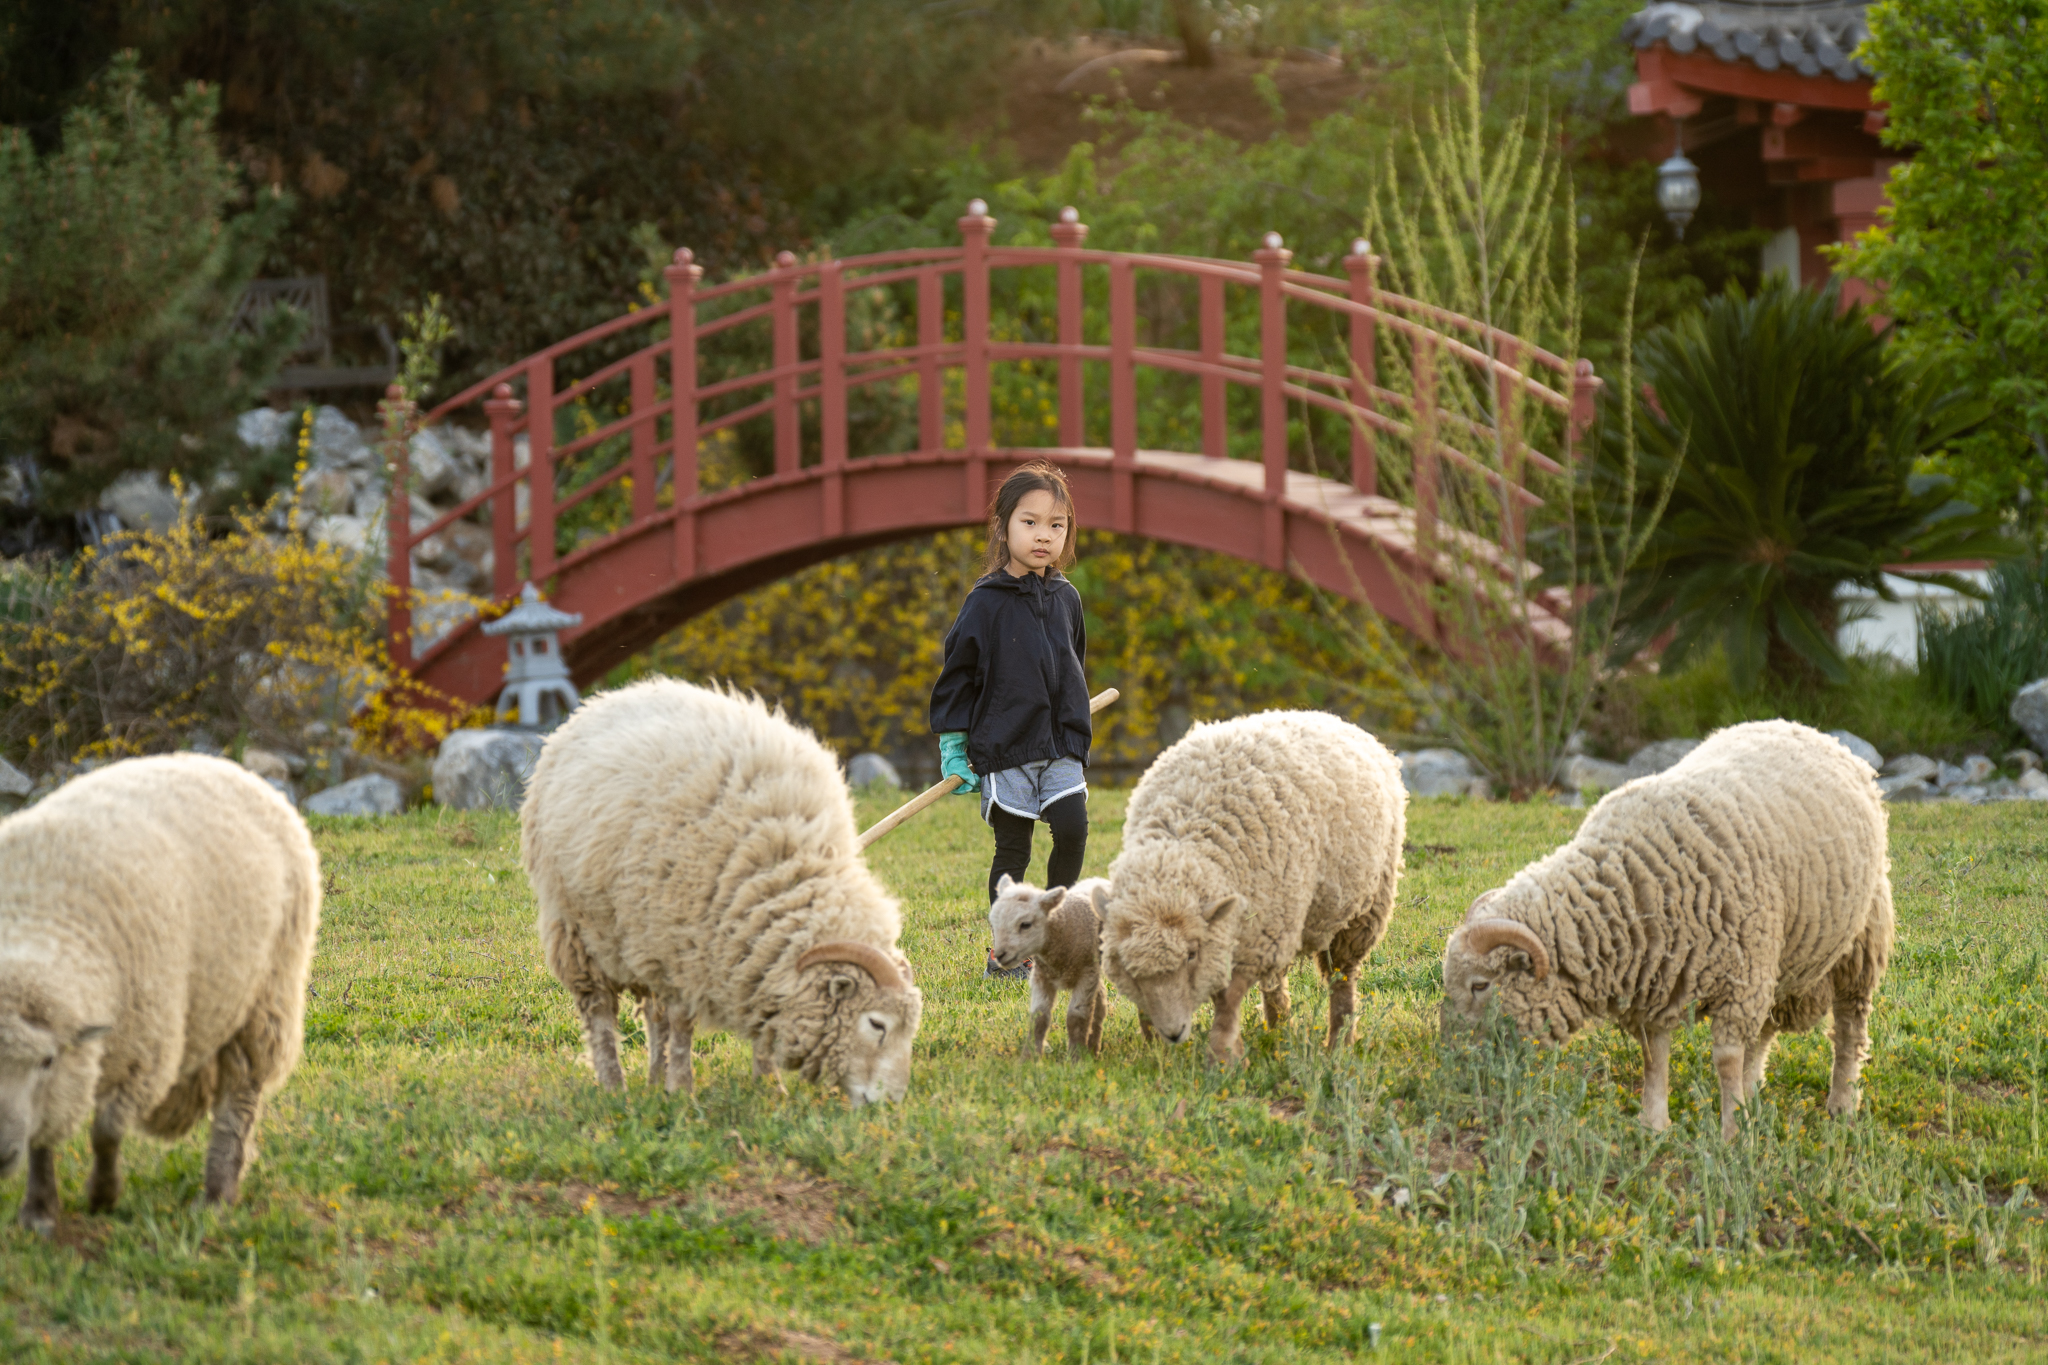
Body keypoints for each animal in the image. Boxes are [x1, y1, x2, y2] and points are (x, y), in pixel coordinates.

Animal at [0, 754, 321, 1234]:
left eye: (46, 1061)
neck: (39, 921)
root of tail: (221, 763)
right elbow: (43, 1138)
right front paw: (38, 1211)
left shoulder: (144, 1054)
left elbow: (106, 1132)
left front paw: (103, 1195)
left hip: (267, 995)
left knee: (239, 1099)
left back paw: (217, 1195)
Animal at [521, 678, 923, 1105]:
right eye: (877, 1024)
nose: (893, 1101)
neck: (787, 868)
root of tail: (606, 699)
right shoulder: (681, 946)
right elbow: (682, 1025)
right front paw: (682, 1090)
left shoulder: (742, 948)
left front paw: (769, 1086)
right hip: (579, 931)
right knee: (599, 1013)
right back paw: (615, 1086)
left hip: (639, 937)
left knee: (653, 1015)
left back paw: (654, 1079)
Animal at [988, 874, 1114, 1057]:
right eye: (994, 923)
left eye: (1025, 924)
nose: (1000, 955)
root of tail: (1096, 879)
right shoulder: (1042, 976)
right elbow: (1039, 1017)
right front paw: (1030, 1057)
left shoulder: (1086, 974)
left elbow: (1077, 1016)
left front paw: (1077, 1057)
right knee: (1100, 999)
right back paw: (1093, 1046)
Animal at [1098, 711, 1407, 1063]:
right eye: (1128, 968)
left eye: (1191, 955)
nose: (1174, 1033)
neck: (1184, 839)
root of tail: (1329, 717)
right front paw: (1155, 1046)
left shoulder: (1255, 935)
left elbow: (1228, 998)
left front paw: (1223, 1057)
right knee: (1277, 981)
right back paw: (1279, 1031)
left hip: (1359, 908)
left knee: (1341, 976)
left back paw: (1339, 1042)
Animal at [1439, 719, 1893, 1141]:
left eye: (1480, 985)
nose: (1454, 1059)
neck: (1631, 886)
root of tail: (1802, 727)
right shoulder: (1659, 978)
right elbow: (1653, 1056)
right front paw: (1654, 1124)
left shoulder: (1738, 976)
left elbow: (1726, 1059)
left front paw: (1731, 1132)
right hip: (1781, 952)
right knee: (1765, 1029)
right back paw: (1754, 1092)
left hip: (1859, 938)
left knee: (1850, 1026)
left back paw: (1842, 1103)